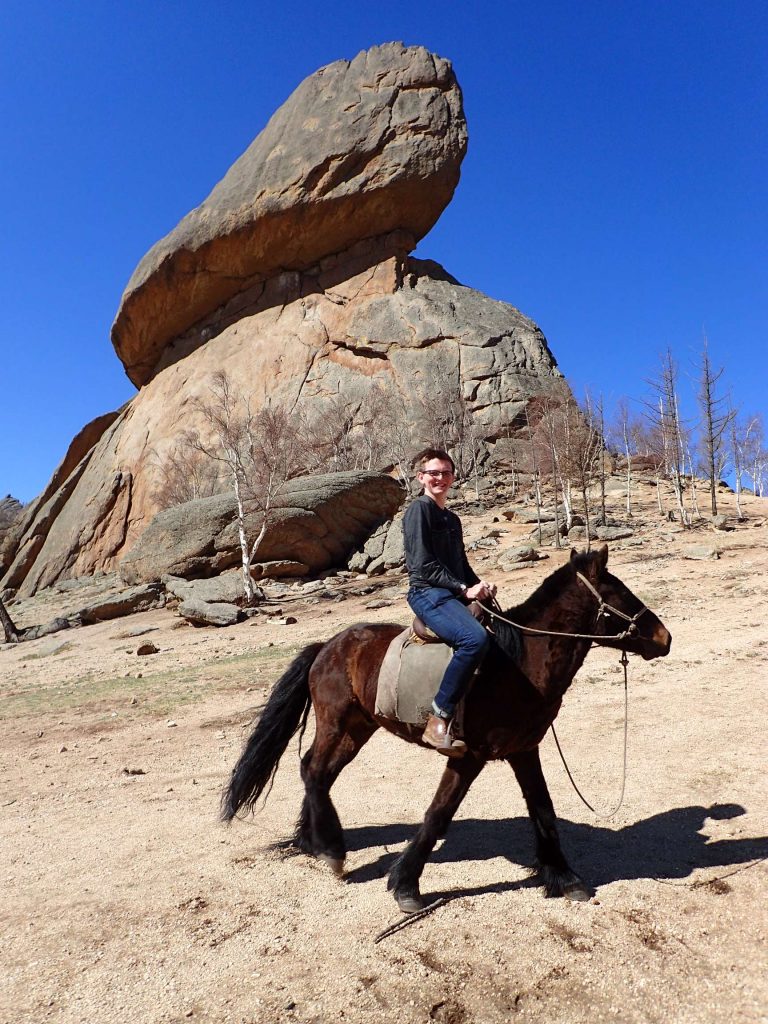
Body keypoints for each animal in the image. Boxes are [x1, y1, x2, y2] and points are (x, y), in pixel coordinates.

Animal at [219, 544, 671, 913]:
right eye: (621, 594)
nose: (664, 638)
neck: (517, 662)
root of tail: (327, 646)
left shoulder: (524, 750)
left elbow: (543, 810)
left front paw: (564, 877)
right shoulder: (468, 756)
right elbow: (438, 814)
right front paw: (405, 886)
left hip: (357, 728)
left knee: (319, 772)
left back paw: (314, 841)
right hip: (336, 722)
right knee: (313, 770)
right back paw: (330, 849)